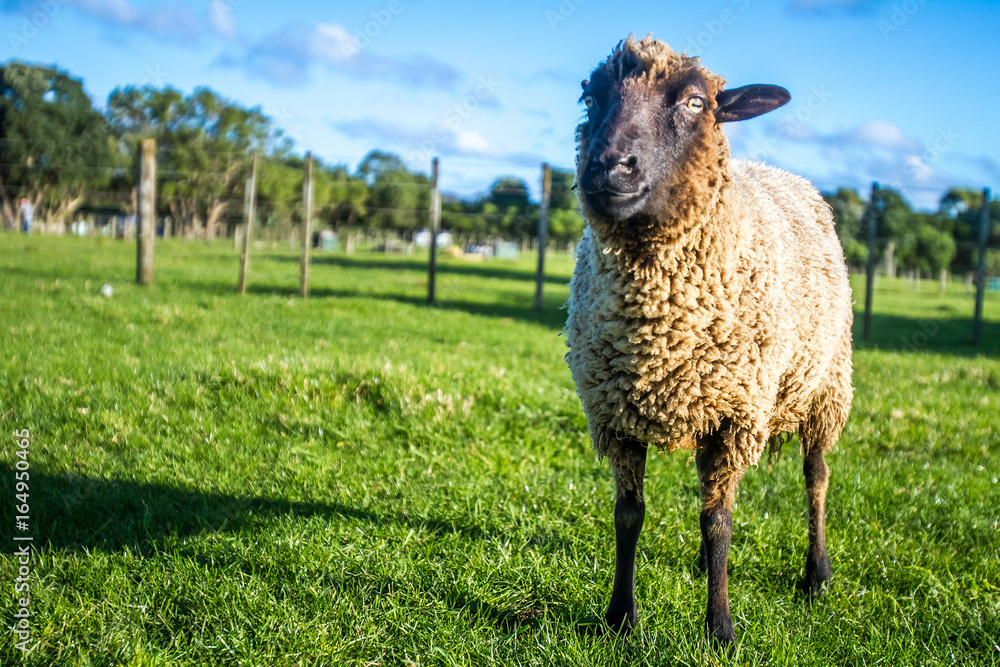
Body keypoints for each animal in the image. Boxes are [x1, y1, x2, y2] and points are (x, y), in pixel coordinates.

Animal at [564, 35, 853, 646]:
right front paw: (620, 617)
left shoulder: (739, 416)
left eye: (696, 103)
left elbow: (718, 520)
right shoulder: (614, 416)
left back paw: (816, 575)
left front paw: (720, 627)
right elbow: (629, 515)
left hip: (825, 386)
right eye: (592, 98)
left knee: (815, 477)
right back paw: (703, 565)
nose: (607, 166)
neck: (659, 325)